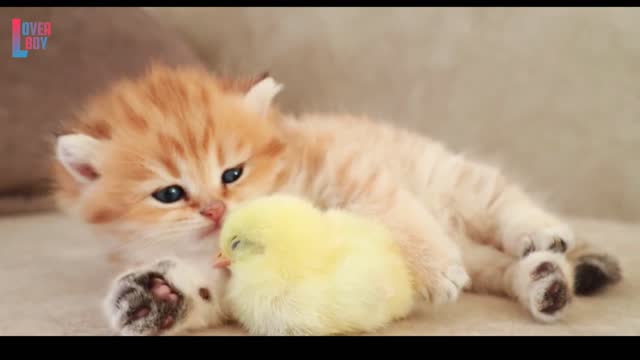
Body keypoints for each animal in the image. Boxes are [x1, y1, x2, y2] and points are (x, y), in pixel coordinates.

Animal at [52, 64, 624, 334]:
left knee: (503, 202)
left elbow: (389, 206)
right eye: (169, 194)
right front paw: (156, 295)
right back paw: (545, 282)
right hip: (481, 250)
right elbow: (203, 289)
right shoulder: (224, 275)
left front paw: (432, 265)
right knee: (501, 267)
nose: (215, 209)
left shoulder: (346, 166)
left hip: (452, 178)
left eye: (233, 173)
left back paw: (540, 236)